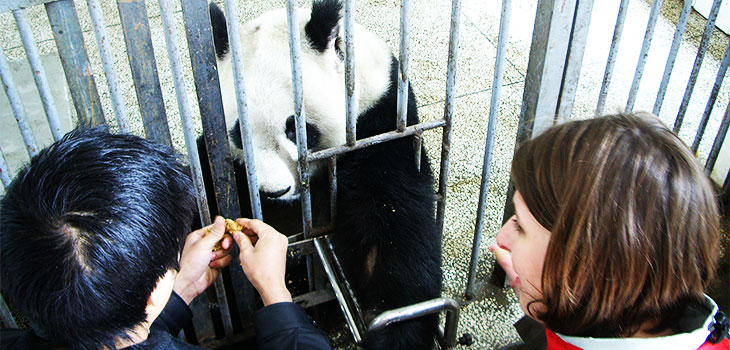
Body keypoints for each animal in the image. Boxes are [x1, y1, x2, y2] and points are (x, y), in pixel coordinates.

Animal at [196, 1, 440, 348]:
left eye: (296, 129)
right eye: (238, 134)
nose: (274, 191)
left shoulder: (381, 121)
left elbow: (392, 217)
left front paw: (400, 326)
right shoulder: (221, 158)